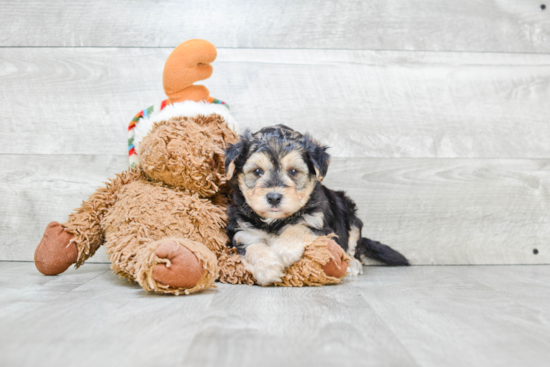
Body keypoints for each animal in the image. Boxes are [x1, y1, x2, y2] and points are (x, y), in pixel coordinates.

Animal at [224, 125, 410, 286]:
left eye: (293, 171)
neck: (275, 221)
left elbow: (298, 227)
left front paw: (284, 250)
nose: (274, 197)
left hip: (351, 217)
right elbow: (253, 247)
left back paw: (353, 264)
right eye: (257, 171)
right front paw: (267, 269)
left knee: (353, 247)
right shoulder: (244, 231)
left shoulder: (319, 223)